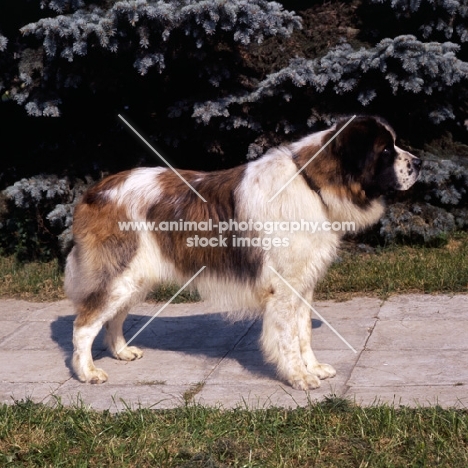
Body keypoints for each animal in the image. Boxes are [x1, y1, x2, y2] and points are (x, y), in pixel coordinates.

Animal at [65, 115, 420, 390]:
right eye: (386, 150)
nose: (418, 163)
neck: (312, 184)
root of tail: (94, 191)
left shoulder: (303, 284)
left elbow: (303, 331)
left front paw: (313, 368)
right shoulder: (283, 290)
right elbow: (288, 337)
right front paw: (299, 377)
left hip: (136, 278)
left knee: (113, 318)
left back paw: (121, 352)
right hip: (119, 274)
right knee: (84, 324)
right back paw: (88, 372)